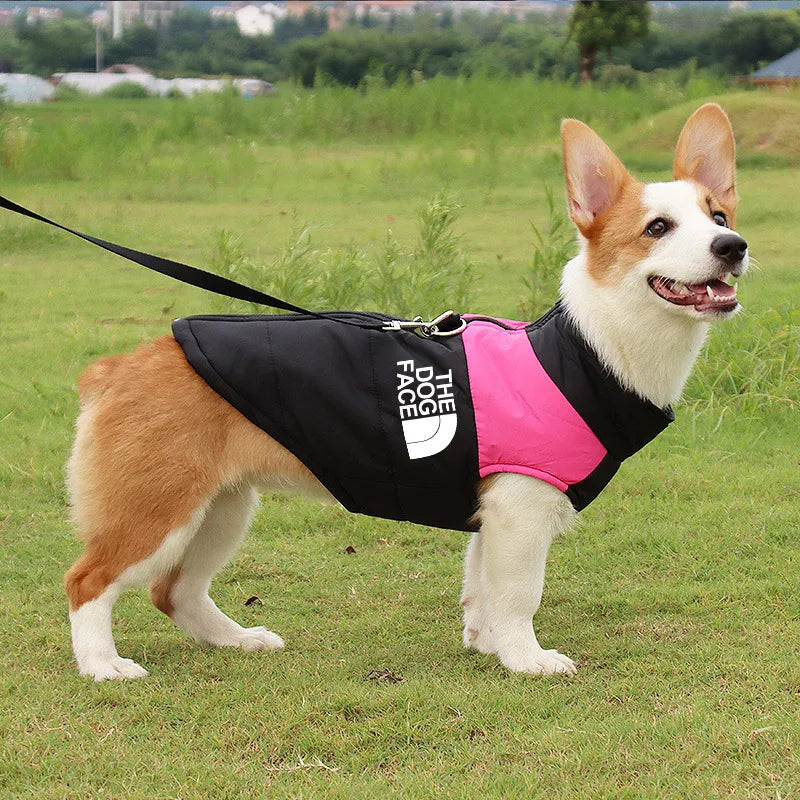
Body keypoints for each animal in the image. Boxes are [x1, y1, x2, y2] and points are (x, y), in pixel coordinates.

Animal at [65, 103, 748, 680]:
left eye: (718, 217)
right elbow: (519, 594)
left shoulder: (491, 513)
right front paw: (528, 660)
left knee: (174, 590)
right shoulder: (521, 510)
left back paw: (238, 639)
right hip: (158, 507)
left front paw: (487, 645)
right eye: (657, 227)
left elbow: (481, 590)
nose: (733, 246)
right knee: (88, 581)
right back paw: (103, 667)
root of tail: (117, 368)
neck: (589, 349)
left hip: (222, 506)